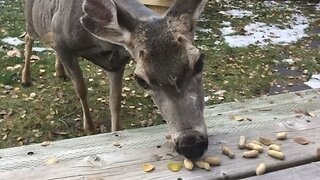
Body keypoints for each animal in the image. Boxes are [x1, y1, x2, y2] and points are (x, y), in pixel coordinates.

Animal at [22, 0, 208, 158]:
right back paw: (25, 78)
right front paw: (90, 129)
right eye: (141, 80)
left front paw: (115, 132)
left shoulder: (117, 62)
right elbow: (81, 89)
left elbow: (115, 102)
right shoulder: (63, 45)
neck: (101, 41)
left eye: (200, 62)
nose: (190, 143)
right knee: (28, 37)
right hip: (32, 21)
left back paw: (59, 72)